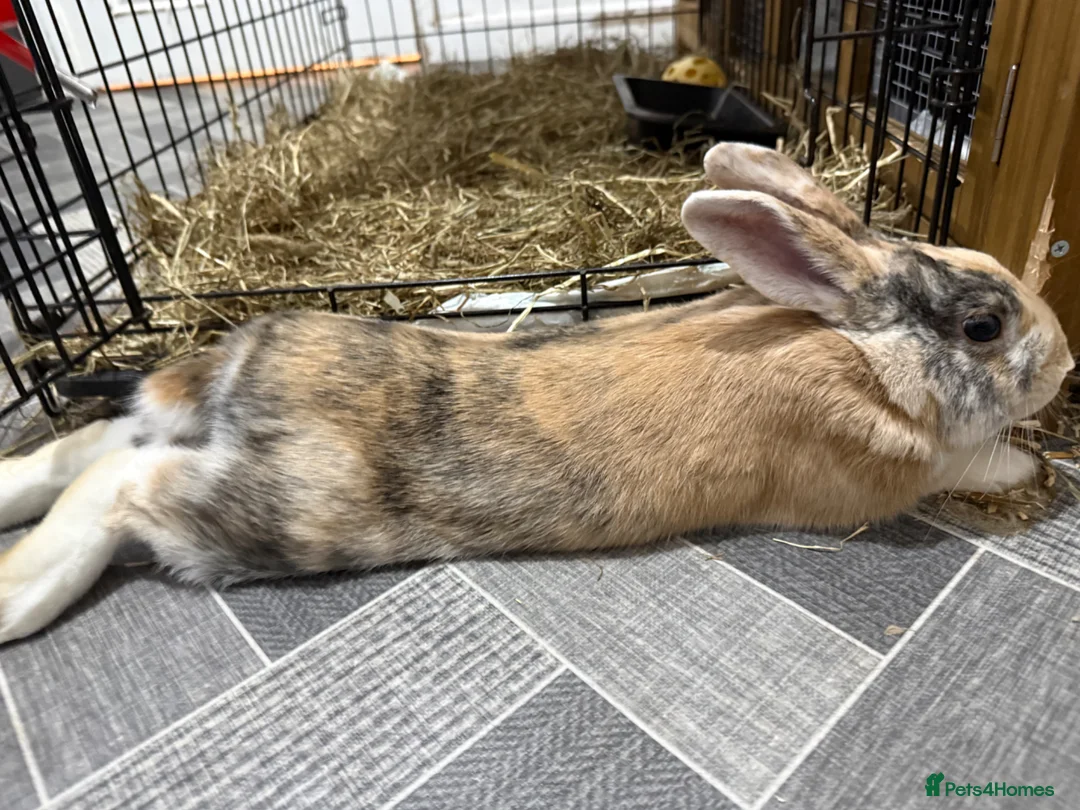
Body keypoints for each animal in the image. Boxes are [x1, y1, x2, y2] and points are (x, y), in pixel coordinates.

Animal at [0, 142, 1071, 645]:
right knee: (123, 486)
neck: (850, 348)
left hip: (191, 429)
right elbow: (976, 459)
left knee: (90, 444)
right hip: (284, 512)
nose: (1065, 363)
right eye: (984, 327)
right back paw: (18, 599)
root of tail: (250, 360)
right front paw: (1030, 466)